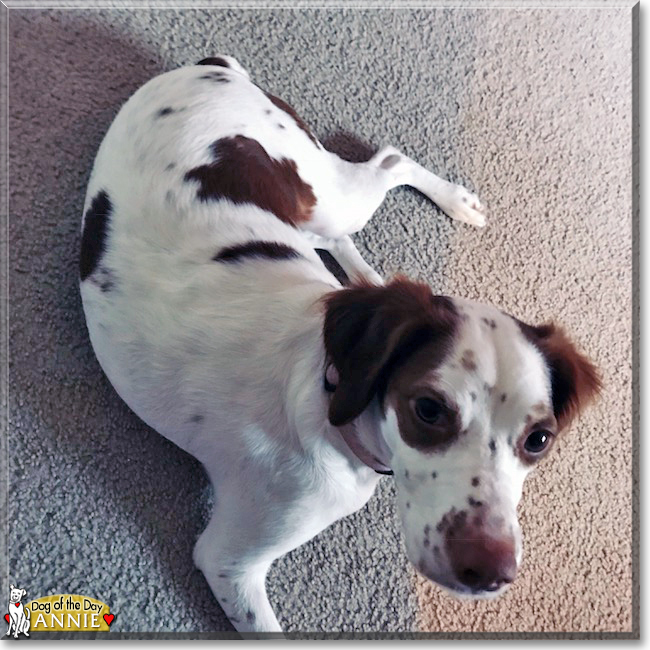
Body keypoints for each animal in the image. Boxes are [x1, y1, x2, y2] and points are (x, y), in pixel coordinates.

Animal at [78, 55, 600, 628]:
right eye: (428, 409)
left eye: (539, 440)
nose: (489, 572)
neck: (330, 400)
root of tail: (208, 66)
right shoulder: (229, 563)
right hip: (327, 196)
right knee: (389, 162)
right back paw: (448, 209)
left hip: (314, 205)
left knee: (349, 220)